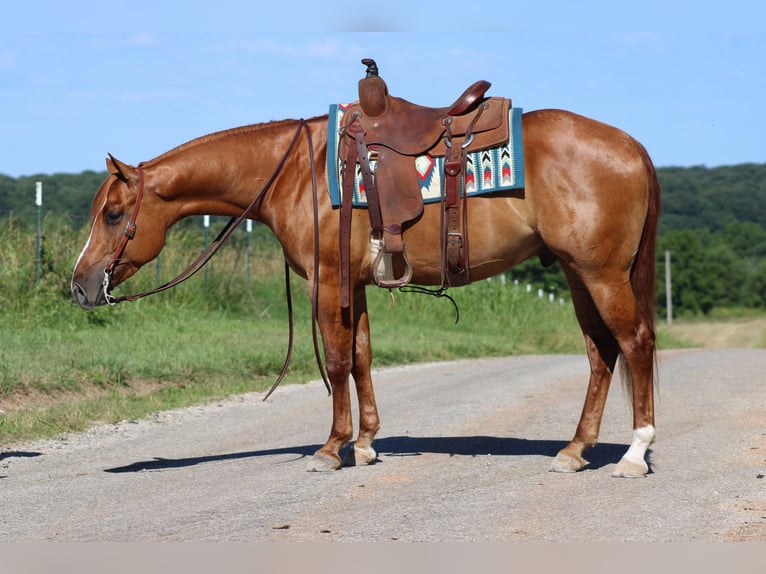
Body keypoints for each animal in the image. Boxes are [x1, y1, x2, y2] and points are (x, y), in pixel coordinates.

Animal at [70, 106, 660, 480]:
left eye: (115, 214)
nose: (79, 285)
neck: (297, 172)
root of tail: (631, 145)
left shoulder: (328, 280)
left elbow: (335, 362)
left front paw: (332, 449)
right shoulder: (355, 284)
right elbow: (361, 357)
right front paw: (366, 443)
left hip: (601, 273)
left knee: (635, 343)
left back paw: (634, 454)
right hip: (577, 273)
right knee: (601, 354)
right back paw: (575, 450)